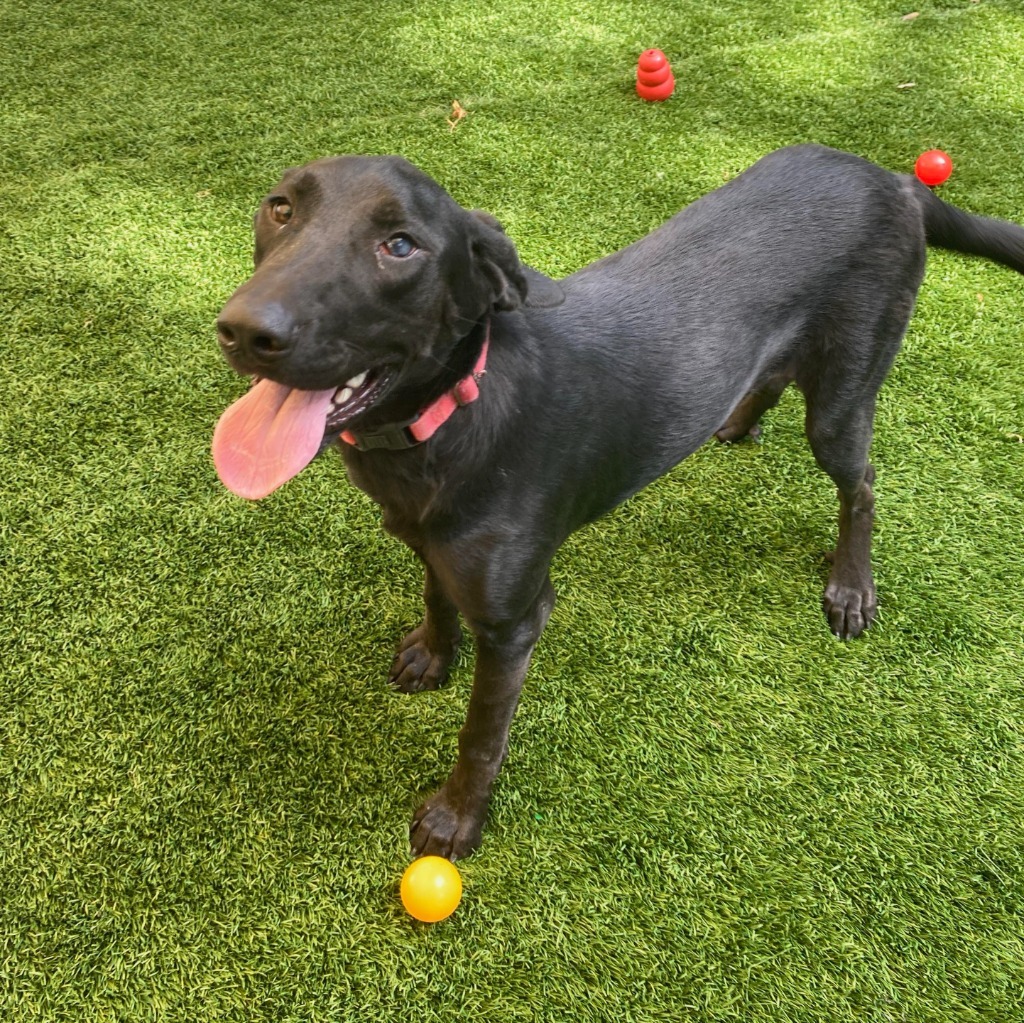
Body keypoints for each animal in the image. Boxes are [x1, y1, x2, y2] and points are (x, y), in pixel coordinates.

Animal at [209, 144, 1024, 860]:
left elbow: (482, 732)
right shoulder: (431, 542)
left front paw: (457, 818)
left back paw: (852, 584)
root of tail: (894, 180)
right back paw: (738, 418)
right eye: (280, 207)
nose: (243, 330)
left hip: (843, 398)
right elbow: (437, 594)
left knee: (863, 485)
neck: (450, 411)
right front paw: (433, 654)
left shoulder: (517, 618)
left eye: (400, 246)